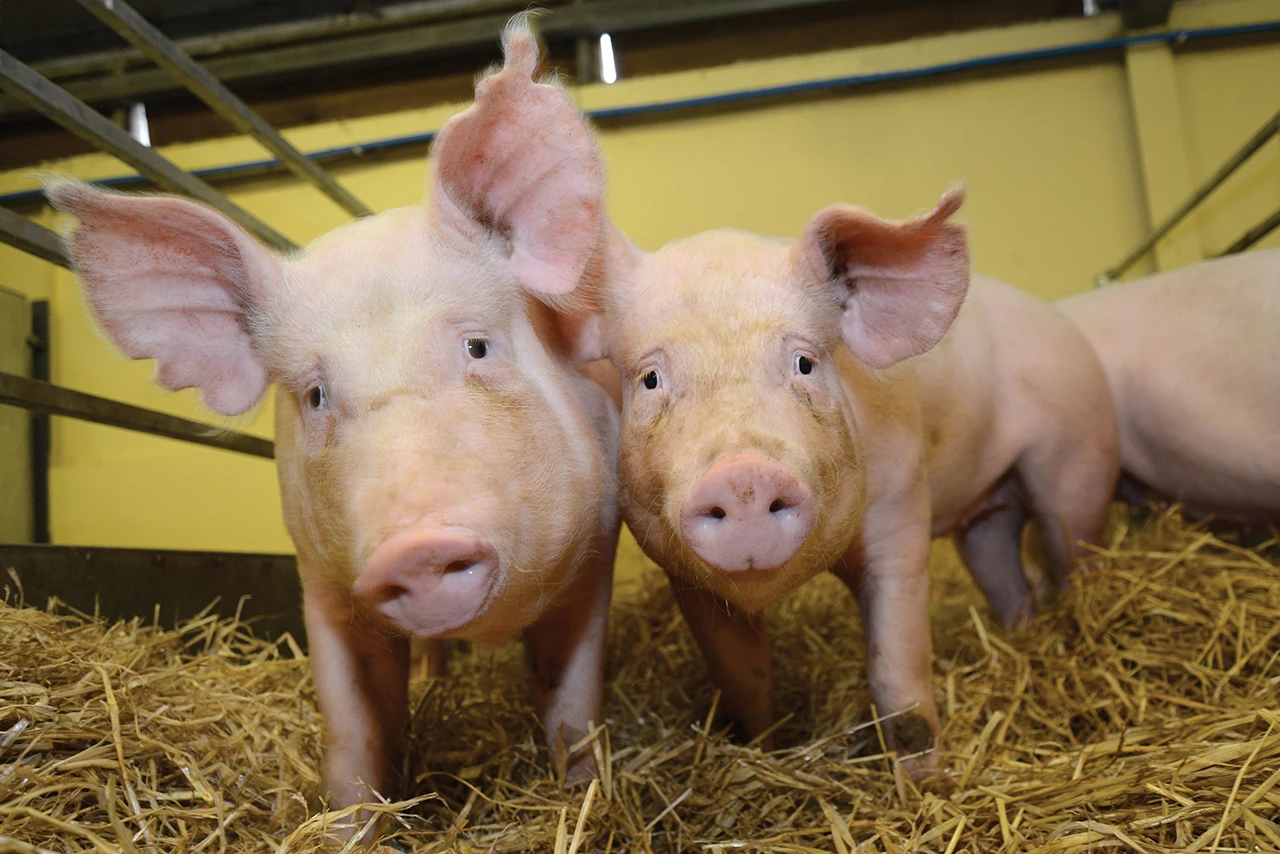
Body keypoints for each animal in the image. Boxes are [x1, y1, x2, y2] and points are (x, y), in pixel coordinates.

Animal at [47, 20, 620, 830]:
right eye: (315, 395)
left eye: (478, 347)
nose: (415, 546)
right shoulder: (319, 581)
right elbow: (353, 723)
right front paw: (350, 824)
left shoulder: (598, 542)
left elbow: (572, 701)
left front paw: (582, 797)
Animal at [588, 192, 1119, 769]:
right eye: (650, 380)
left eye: (805, 363)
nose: (742, 476)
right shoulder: (684, 578)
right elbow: (745, 678)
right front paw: (761, 748)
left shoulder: (901, 503)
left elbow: (897, 675)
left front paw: (923, 777)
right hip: (988, 516)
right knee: (1005, 573)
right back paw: (1021, 630)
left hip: (1077, 460)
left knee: (1073, 553)